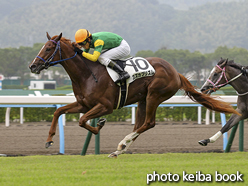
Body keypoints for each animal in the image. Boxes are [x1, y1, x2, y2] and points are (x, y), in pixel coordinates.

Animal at [28, 33, 238, 157]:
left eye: (48, 48)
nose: (33, 66)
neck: (88, 74)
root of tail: (175, 72)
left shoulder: (105, 106)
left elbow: (82, 121)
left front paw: (100, 125)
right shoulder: (83, 104)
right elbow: (59, 111)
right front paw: (49, 140)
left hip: (154, 95)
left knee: (148, 123)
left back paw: (122, 144)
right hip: (142, 100)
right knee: (139, 125)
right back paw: (118, 150)